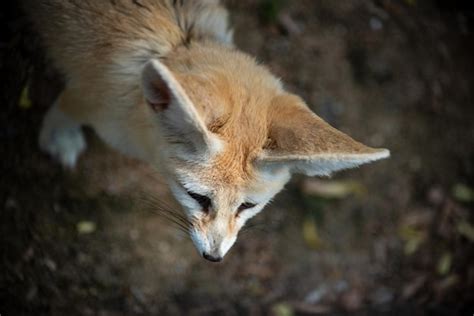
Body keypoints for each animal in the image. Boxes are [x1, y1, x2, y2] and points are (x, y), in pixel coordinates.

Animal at [23, 0, 388, 262]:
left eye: (248, 206)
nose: (214, 257)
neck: (176, 42)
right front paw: (58, 135)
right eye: (197, 197)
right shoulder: (88, 97)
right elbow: (66, 107)